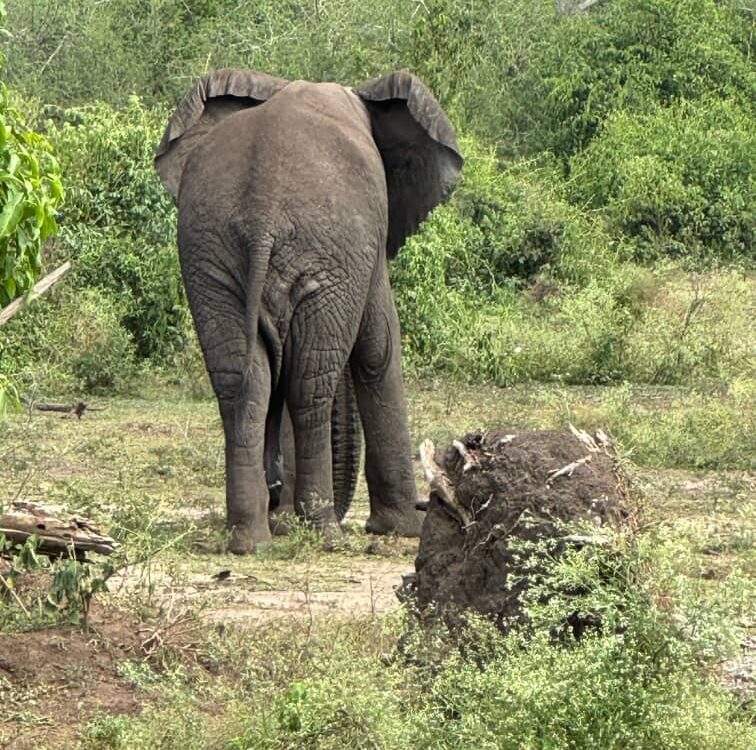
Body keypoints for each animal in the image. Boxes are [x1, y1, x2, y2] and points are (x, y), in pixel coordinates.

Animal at [154, 68, 463, 553]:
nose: (279, 496)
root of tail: (260, 216)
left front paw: (283, 522)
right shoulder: (367, 244)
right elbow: (379, 347)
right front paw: (402, 527)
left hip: (211, 255)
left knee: (244, 382)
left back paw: (250, 540)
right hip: (323, 255)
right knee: (308, 384)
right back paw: (323, 533)